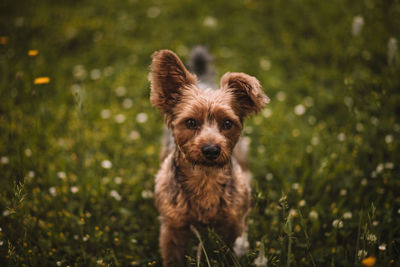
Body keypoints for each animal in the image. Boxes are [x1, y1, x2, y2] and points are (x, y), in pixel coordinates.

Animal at [148, 47, 268, 266]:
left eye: (228, 123)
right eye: (190, 122)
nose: (211, 150)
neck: (205, 177)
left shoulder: (233, 227)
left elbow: (230, 255)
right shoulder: (173, 229)